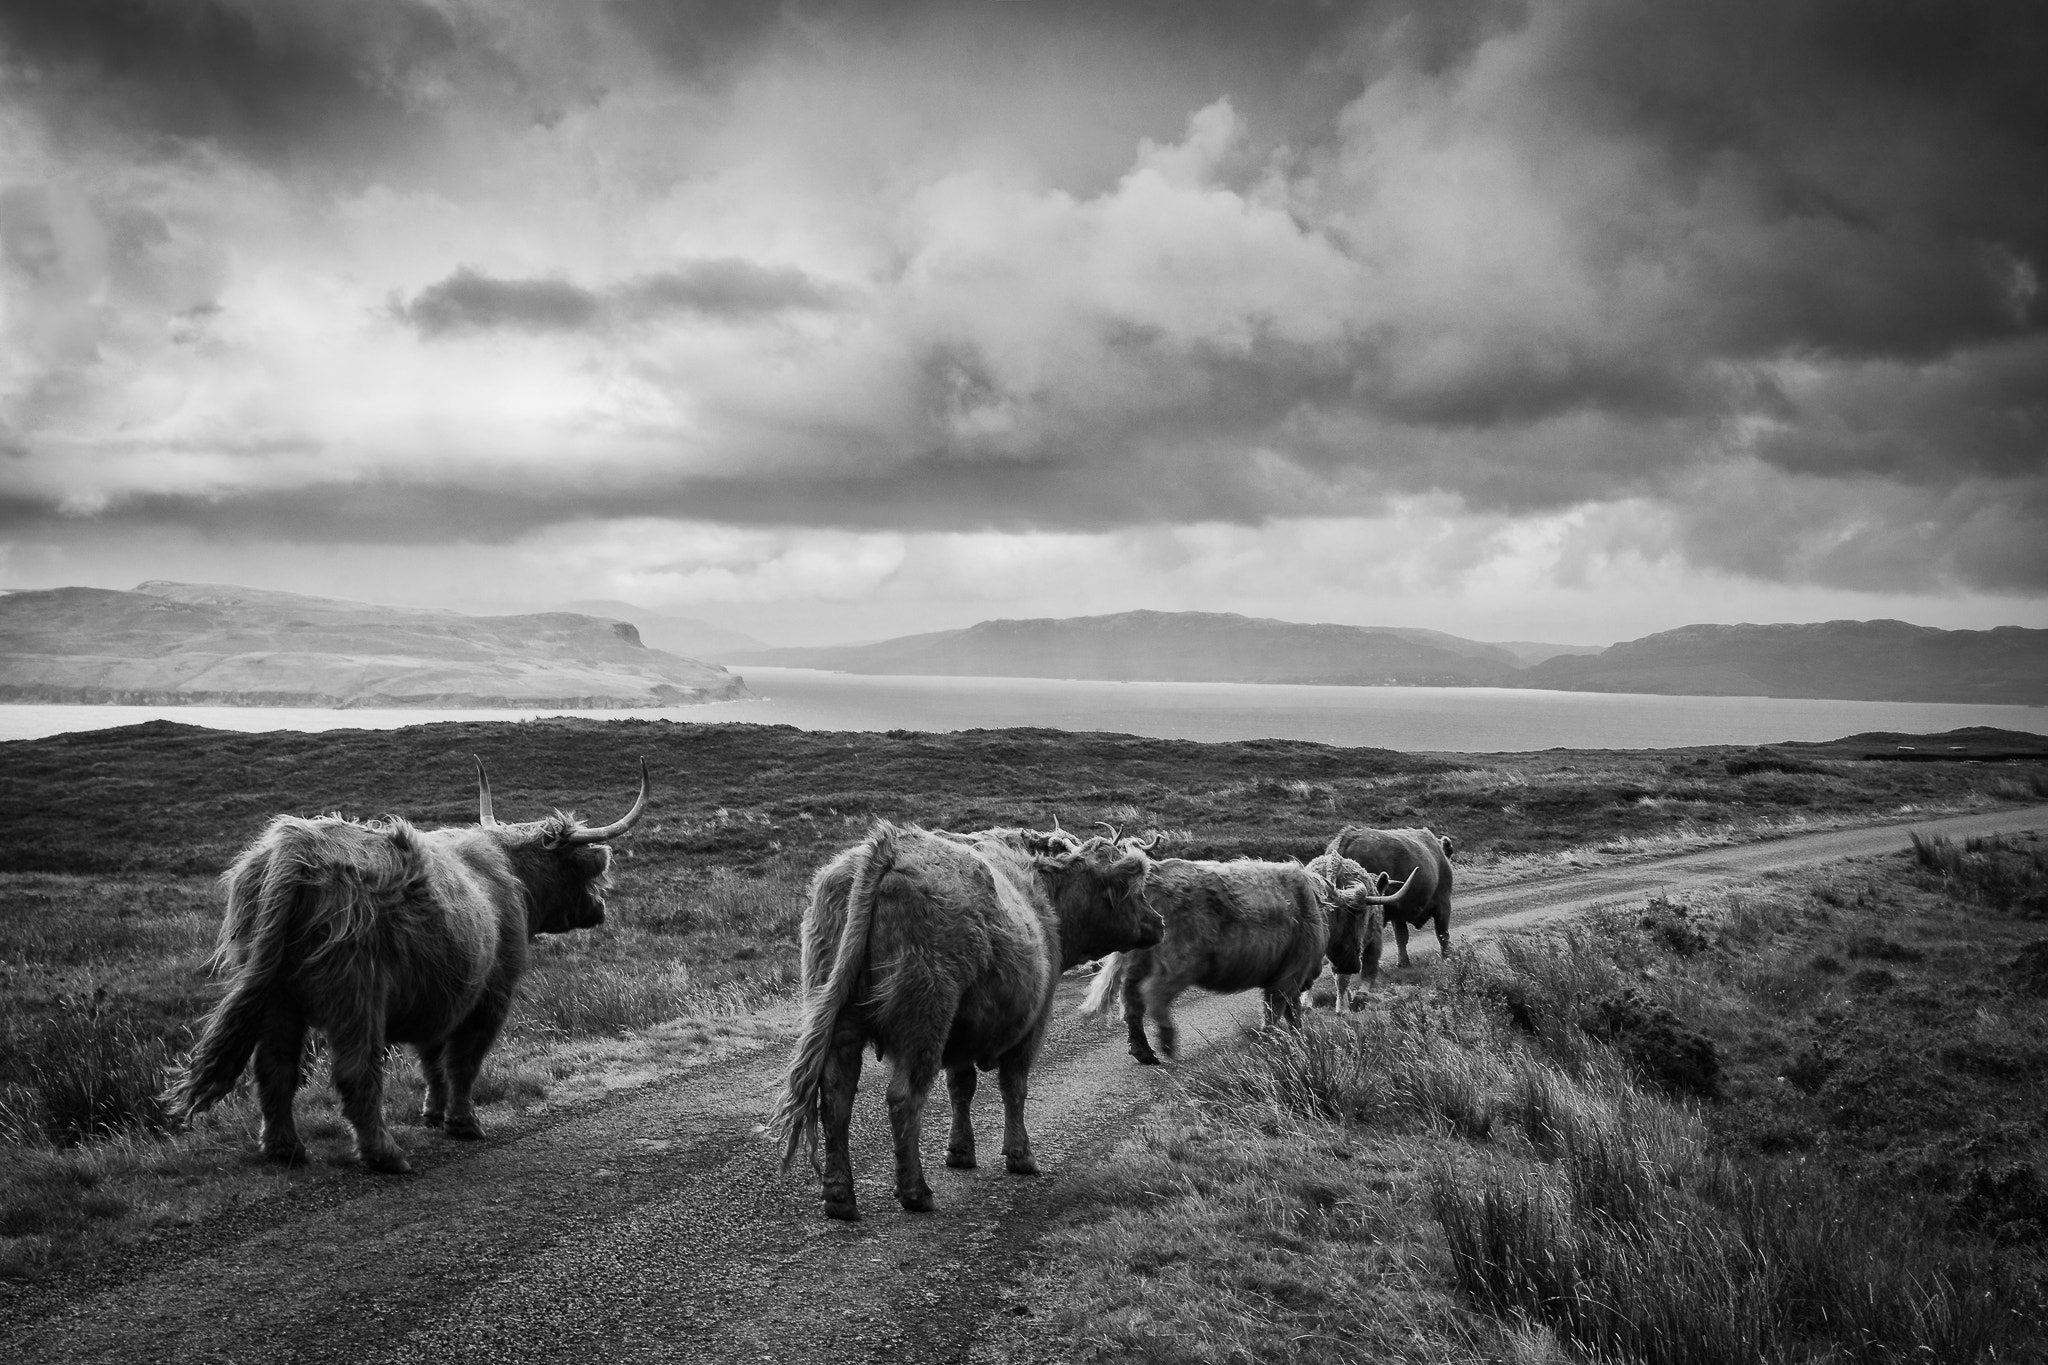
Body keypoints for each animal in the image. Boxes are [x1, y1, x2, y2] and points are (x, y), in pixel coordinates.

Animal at [166, 757, 647, 1178]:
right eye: (586, 874)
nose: (600, 907)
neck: (511, 878)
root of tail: (294, 847)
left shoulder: (439, 992)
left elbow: (431, 1059)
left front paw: (433, 1114)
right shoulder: (489, 995)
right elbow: (463, 1062)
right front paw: (463, 1123)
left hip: (277, 997)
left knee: (275, 1068)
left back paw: (286, 1150)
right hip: (357, 992)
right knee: (356, 1071)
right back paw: (385, 1155)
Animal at [770, 818, 1163, 1219]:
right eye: (1134, 889)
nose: (1158, 921)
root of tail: (887, 845)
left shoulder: (963, 1030)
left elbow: (961, 1087)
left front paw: (960, 1151)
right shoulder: (1033, 1023)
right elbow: (1014, 1087)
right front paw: (1020, 1155)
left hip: (842, 1021)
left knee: (837, 1098)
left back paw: (839, 1197)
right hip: (926, 1016)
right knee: (903, 1096)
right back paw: (915, 1192)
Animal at [1081, 855, 1417, 1064]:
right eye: (1360, 917)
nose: (1353, 965)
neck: (1319, 905)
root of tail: (1151, 876)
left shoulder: (1285, 977)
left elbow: (1289, 1012)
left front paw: (1296, 1038)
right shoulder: (1289, 974)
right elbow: (1279, 1011)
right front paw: (1277, 1041)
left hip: (1138, 959)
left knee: (1131, 999)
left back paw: (1143, 1051)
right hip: (1179, 962)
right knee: (1153, 993)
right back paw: (1167, 1042)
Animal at [1327, 826, 1458, 965]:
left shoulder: (1398, 912)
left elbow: (1402, 936)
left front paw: (1403, 962)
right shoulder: (1443, 903)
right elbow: (1442, 933)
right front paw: (1447, 958)